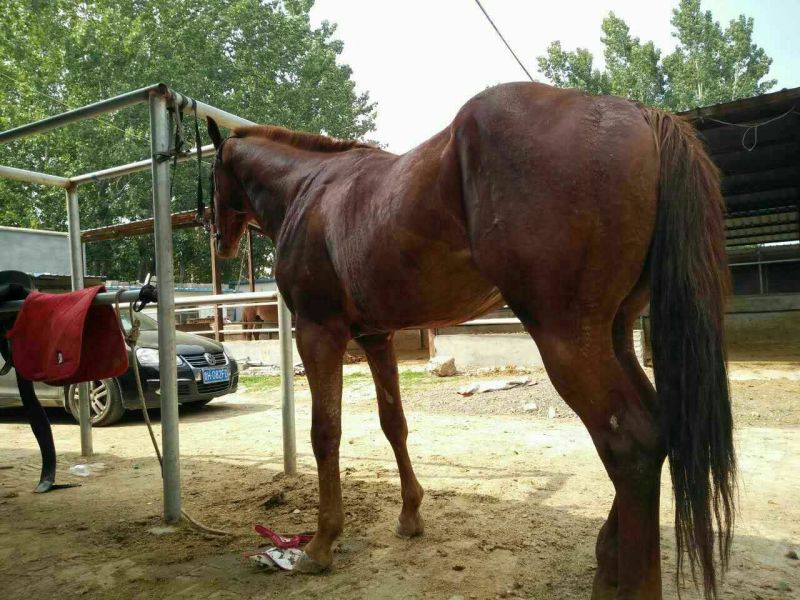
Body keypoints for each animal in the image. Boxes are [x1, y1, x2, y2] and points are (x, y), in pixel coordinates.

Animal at [206, 81, 735, 599]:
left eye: (211, 173)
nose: (218, 237)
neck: (310, 190)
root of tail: (640, 114)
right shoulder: (377, 339)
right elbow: (394, 423)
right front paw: (410, 515)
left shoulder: (318, 333)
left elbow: (325, 432)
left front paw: (320, 545)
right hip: (615, 335)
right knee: (657, 429)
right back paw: (607, 561)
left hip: (567, 341)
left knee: (631, 446)